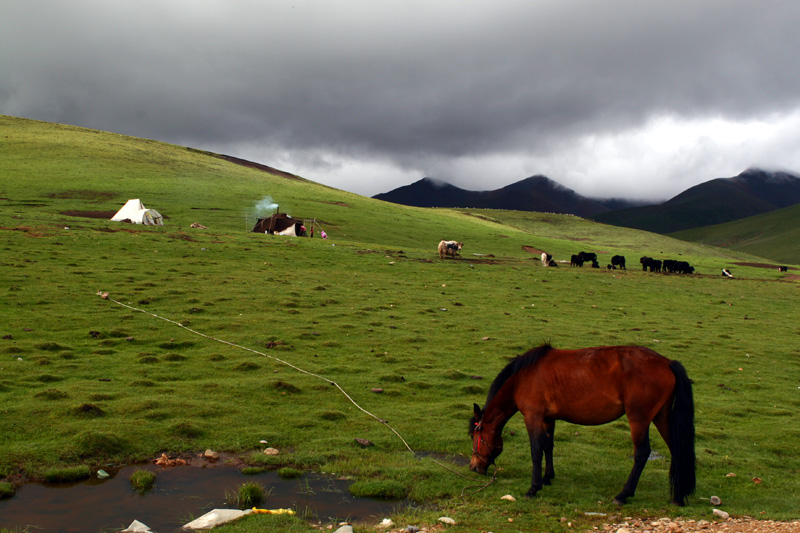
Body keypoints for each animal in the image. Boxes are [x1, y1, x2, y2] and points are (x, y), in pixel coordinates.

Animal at [468, 342, 692, 504]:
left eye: (474, 436)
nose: (473, 467)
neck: (522, 377)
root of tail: (667, 362)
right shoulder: (548, 418)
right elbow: (548, 446)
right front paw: (547, 477)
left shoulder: (533, 417)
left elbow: (536, 450)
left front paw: (533, 488)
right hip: (661, 416)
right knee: (676, 448)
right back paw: (678, 497)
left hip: (639, 418)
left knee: (642, 453)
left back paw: (623, 495)